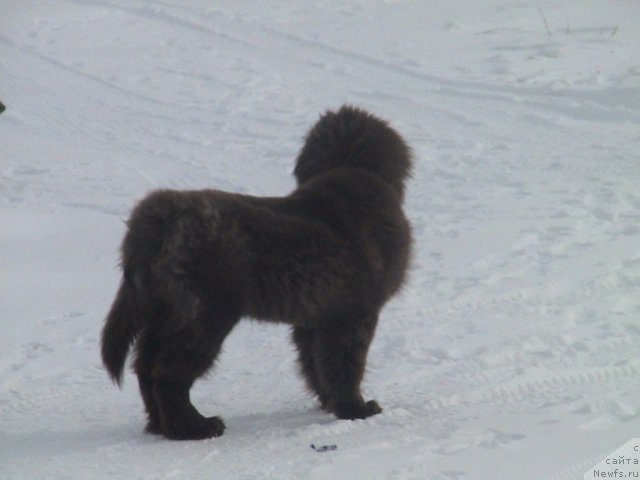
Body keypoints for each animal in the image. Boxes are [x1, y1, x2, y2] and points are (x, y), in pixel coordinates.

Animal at [100, 105, 410, 438]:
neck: (352, 170)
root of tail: (155, 221)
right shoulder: (355, 315)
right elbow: (346, 365)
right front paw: (356, 410)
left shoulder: (315, 319)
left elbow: (317, 365)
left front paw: (331, 403)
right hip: (204, 315)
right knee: (168, 373)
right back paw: (195, 427)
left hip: (164, 309)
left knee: (145, 367)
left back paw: (161, 425)